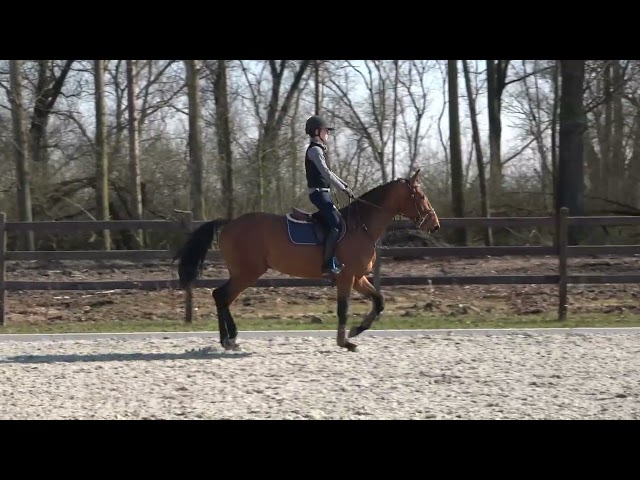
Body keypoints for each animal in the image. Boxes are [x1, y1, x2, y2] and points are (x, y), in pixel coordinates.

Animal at [172, 169, 438, 352]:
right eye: (421, 195)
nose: (434, 225)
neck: (361, 226)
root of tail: (229, 223)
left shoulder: (358, 277)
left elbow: (379, 301)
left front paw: (356, 331)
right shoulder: (346, 277)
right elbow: (343, 309)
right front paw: (344, 342)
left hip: (243, 273)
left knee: (221, 297)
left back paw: (228, 340)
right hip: (247, 273)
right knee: (221, 296)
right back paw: (230, 339)